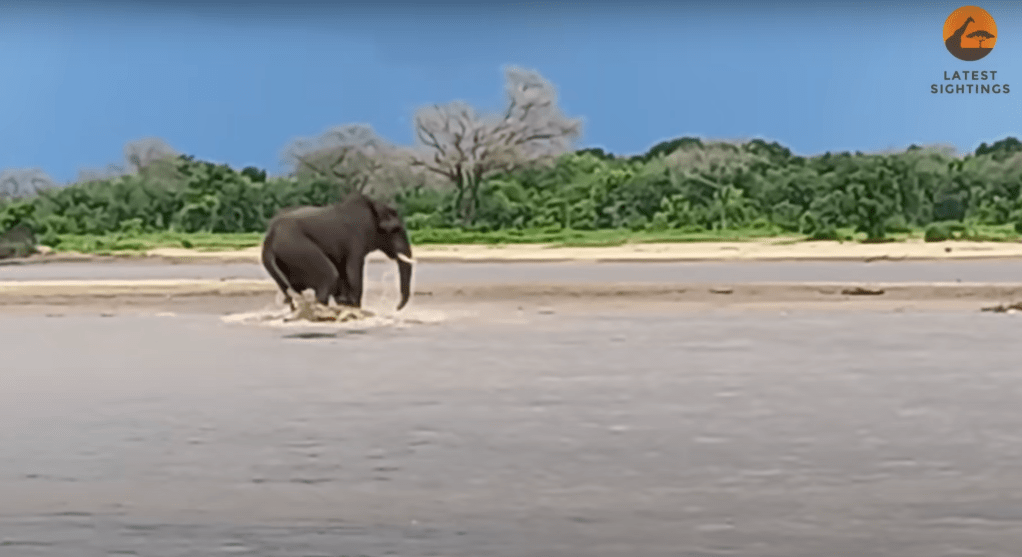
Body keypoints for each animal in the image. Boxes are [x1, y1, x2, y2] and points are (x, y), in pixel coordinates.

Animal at [261, 192, 412, 310]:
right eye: (396, 229)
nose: (396, 307)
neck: (374, 206)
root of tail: (270, 236)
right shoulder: (356, 238)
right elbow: (353, 271)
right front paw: (352, 306)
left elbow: (344, 273)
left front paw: (346, 303)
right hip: (296, 248)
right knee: (329, 277)